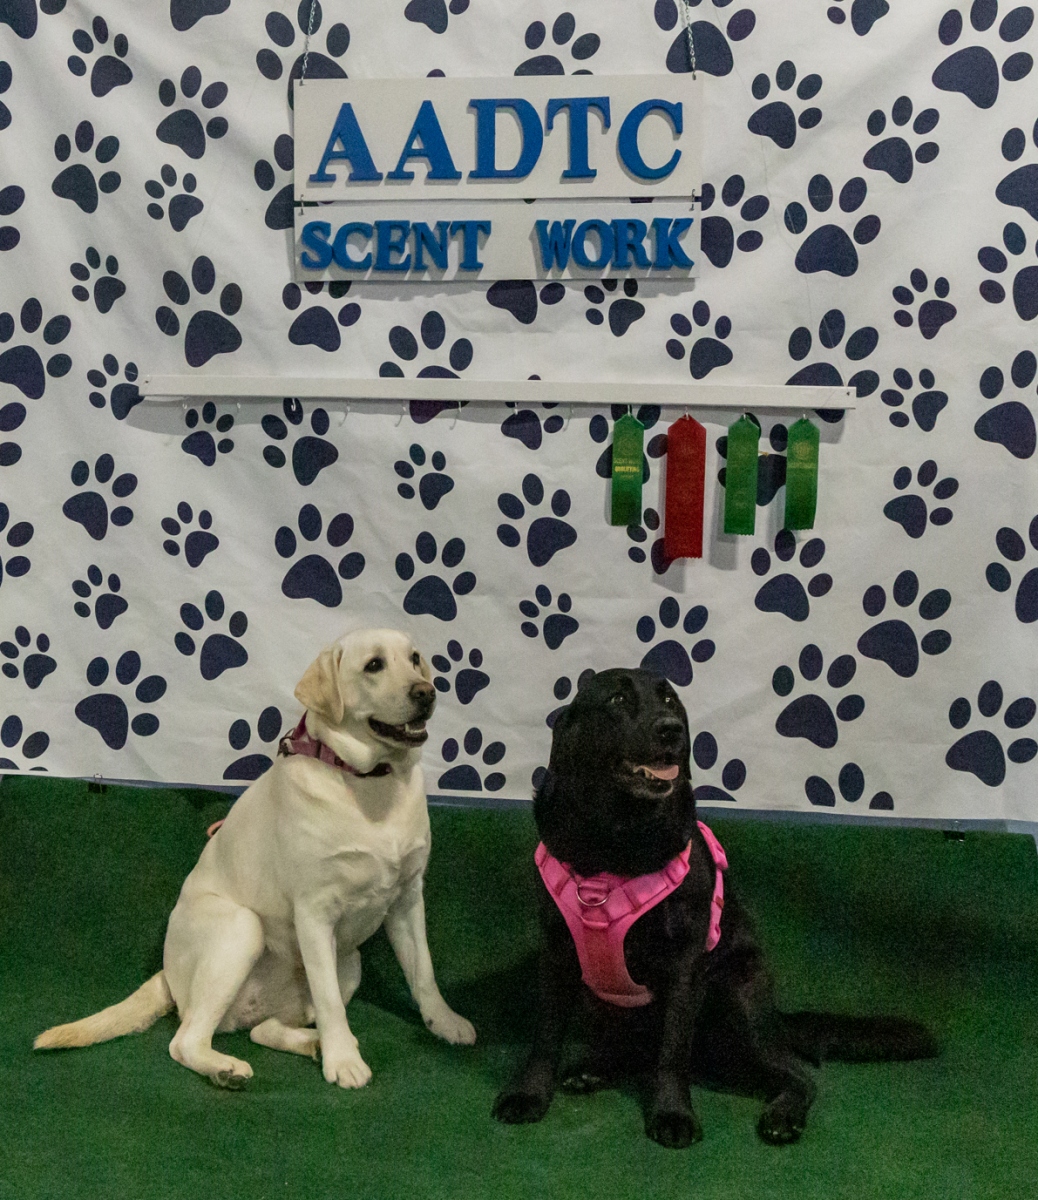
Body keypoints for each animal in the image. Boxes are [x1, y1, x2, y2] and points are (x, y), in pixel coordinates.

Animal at [36, 628, 475, 1088]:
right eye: (374, 665)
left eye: (415, 659)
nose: (427, 692)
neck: (371, 783)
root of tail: (167, 975)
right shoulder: (315, 913)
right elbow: (331, 1003)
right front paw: (343, 1062)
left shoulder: (407, 899)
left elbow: (423, 972)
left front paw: (444, 1022)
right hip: (243, 928)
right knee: (185, 1040)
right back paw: (229, 1067)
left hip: (348, 961)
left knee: (263, 1029)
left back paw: (311, 1042)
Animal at [492, 667, 936, 1147]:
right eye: (616, 700)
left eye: (670, 699)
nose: (671, 729)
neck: (614, 842)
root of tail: (776, 1016)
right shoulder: (557, 952)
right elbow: (545, 1036)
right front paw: (529, 1095)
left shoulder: (686, 963)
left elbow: (672, 1049)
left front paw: (672, 1113)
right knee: (631, 1050)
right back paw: (595, 1069)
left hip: (736, 998)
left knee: (796, 1076)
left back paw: (783, 1115)